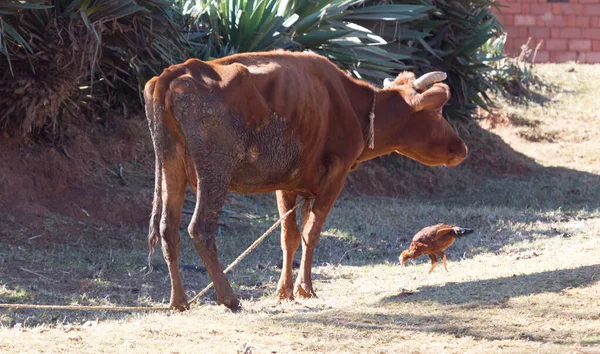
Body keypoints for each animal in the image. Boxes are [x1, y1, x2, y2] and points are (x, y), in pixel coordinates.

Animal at [145, 49, 468, 310]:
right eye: (438, 111)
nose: (461, 147)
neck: (354, 107)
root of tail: (180, 69)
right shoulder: (336, 173)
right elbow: (311, 232)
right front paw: (306, 289)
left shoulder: (290, 183)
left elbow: (289, 237)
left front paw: (285, 291)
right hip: (214, 171)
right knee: (199, 229)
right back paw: (229, 298)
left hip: (171, 166)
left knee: (168, 229)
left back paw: (179, 301)